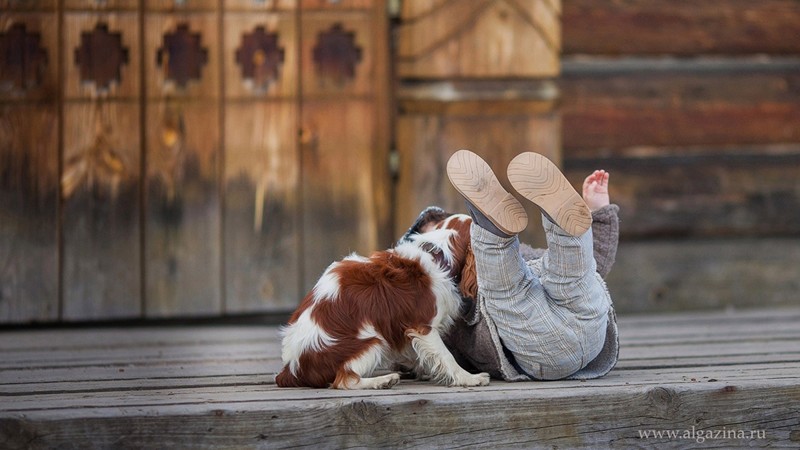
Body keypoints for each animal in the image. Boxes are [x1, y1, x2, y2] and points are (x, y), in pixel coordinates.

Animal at [276, 213, 488, 388]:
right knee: (344, 380)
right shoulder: (424, 327)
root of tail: (291, 370)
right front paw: (468, 378)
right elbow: (446, 355)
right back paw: (383, 380)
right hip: (373, 341)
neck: (439, 253)